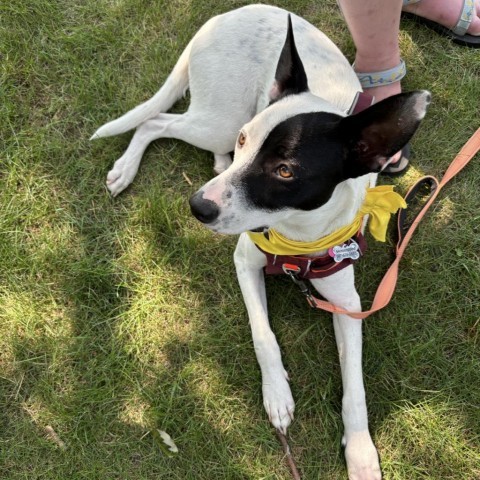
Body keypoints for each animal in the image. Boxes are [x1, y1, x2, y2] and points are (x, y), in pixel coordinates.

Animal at [92, 4, 430, 480]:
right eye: (246, 139)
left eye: (285, 171)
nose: (198, 206)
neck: (296, 237)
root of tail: (225, 15)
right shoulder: (244, 260)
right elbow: (263, 333)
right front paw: (277, 397)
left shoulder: (347, 304)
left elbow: (355, 387)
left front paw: (362, 452)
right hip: (217, 120)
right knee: (155, 121)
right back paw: (127, 168)